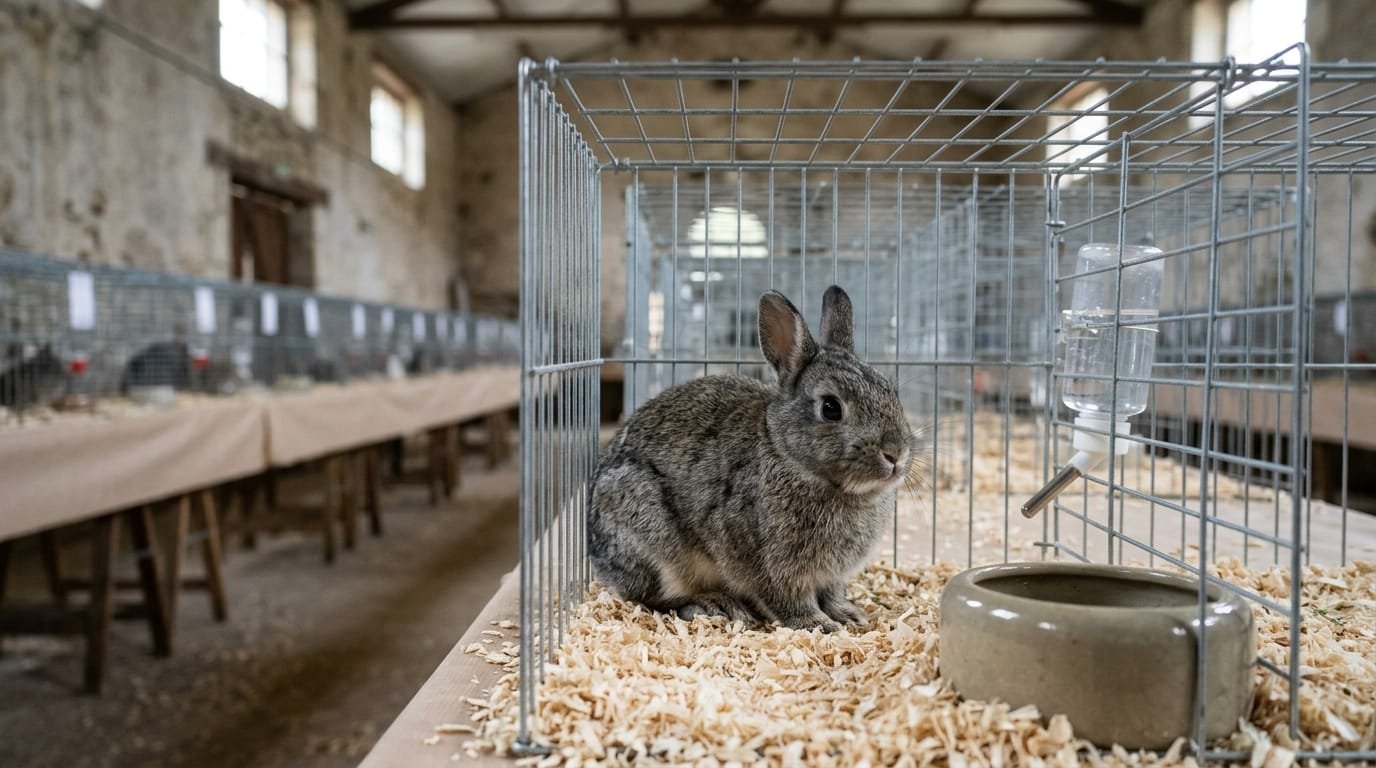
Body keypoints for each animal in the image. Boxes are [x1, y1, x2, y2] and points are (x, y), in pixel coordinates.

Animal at [588, 285, 916, 632]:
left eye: (891, 391)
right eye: (831, 408)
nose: (896, 453)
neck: (788, 455)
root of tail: (596, 552)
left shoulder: (832, 576)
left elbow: (833, 594)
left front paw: (849, 615)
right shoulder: (769, 562)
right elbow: (787, 598)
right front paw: (818, 625)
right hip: (651, 539)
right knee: (654, 596)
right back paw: (715, 603)